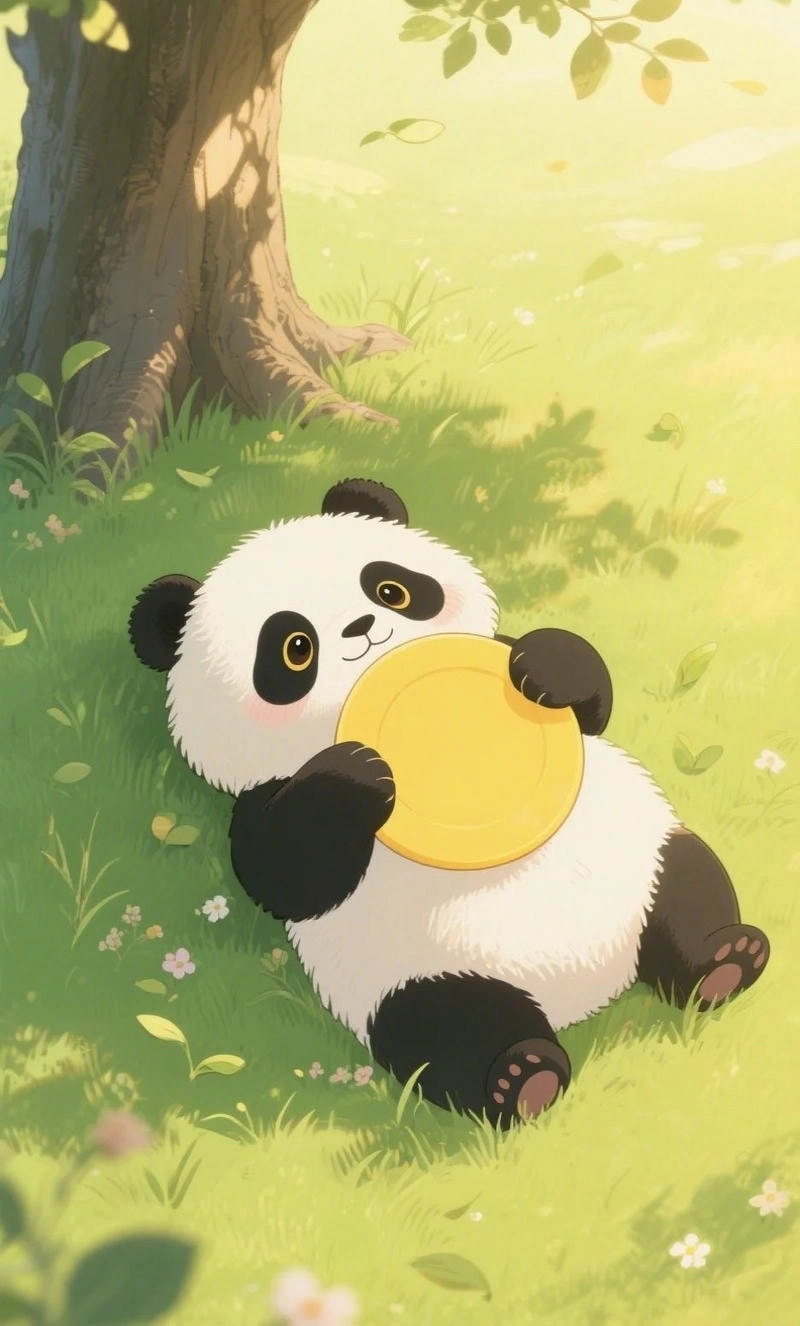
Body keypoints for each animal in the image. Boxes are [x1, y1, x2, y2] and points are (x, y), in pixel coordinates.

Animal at [128, 477, 770, 1130]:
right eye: (294, 648)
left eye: (391, 589)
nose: (363, 627)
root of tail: (591, 991)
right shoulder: (261, 793)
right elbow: (283, 872)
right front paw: (361, 770)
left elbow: (587, 707)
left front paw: (546, 669)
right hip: (411, 976)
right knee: (446, 1030)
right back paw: (521, 1076)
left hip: (643, 860)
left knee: (689, 888)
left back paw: (724, 958)